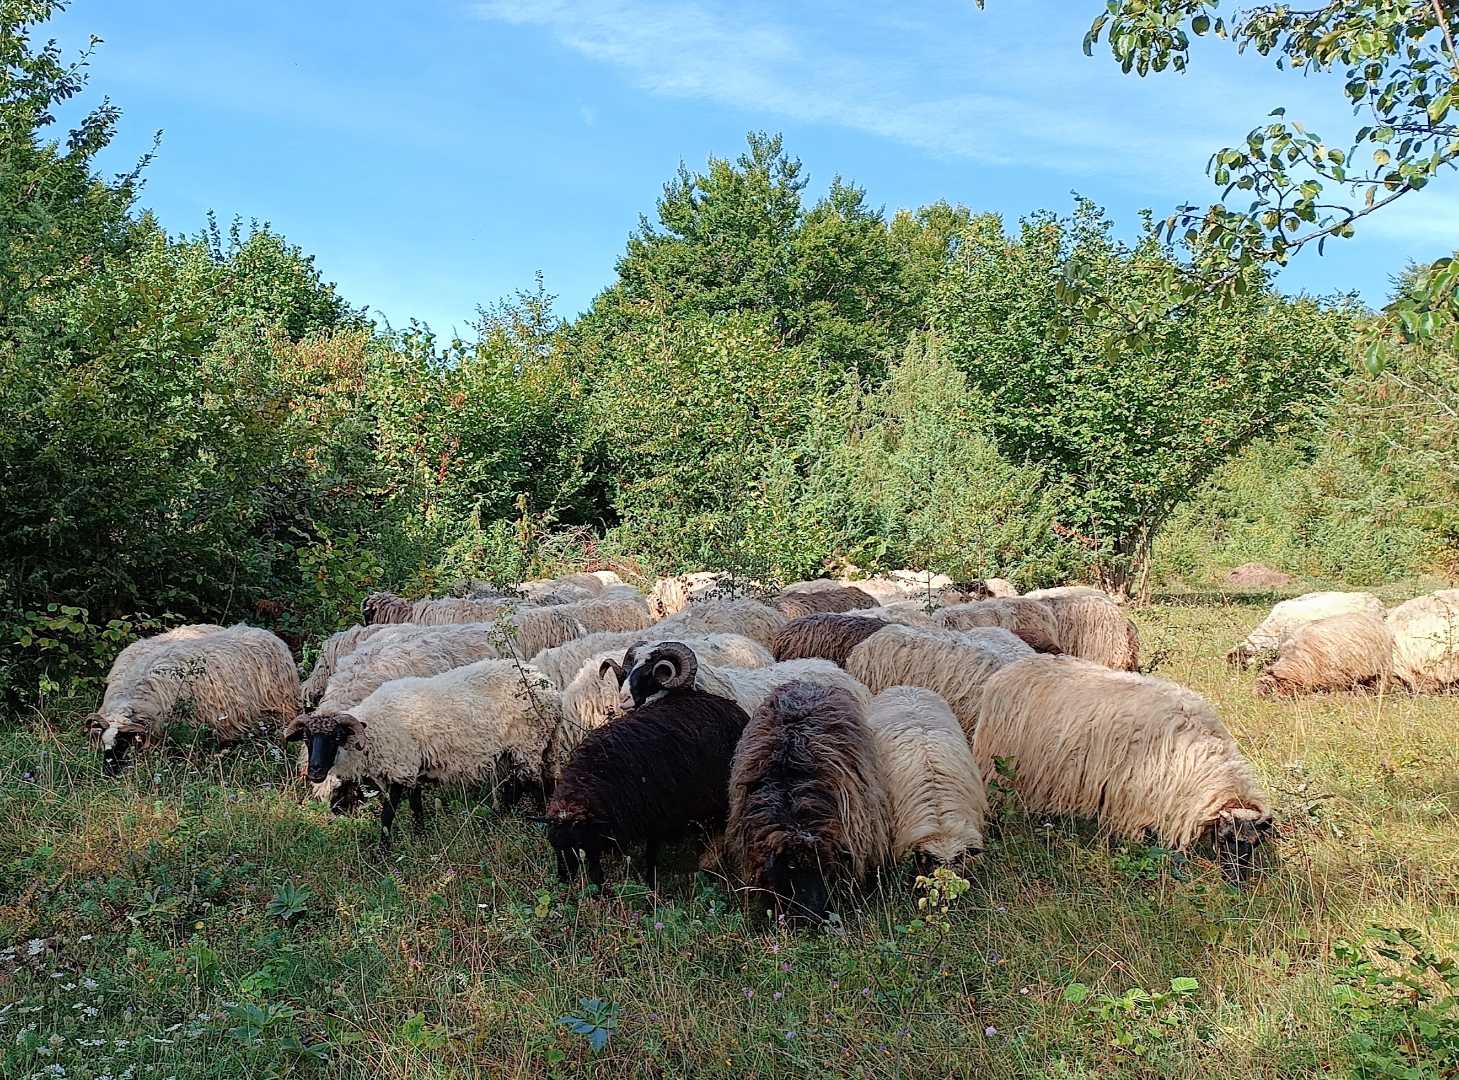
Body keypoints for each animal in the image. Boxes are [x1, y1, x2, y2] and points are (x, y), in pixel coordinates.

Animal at [288, 659, 563, 845]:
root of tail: (549, 686)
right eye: (307, 738)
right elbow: (415, 806)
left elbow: (387, 816)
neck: (373, 729)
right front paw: (419, 835)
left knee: (535, 784)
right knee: (519, 784)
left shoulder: (400, 768)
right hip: (517, 750)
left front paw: (382, 851)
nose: (315, 772)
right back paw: (502, 816)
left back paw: (536, 822)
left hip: (528, 743)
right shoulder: (412, 769)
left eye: (335, 737)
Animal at [547, 685, 751, 888]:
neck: (595, 773)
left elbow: (651, 853)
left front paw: (650, 883)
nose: (563, 879)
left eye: (577, 844)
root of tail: (731, 705)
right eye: (554, 846)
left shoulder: (656, 816)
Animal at [973, 655, 1273, 874]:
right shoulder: (1134, 798)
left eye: (1255, 844)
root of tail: (1005, 672)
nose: (1236, 879)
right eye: (1225, 839)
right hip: (1000, 766)